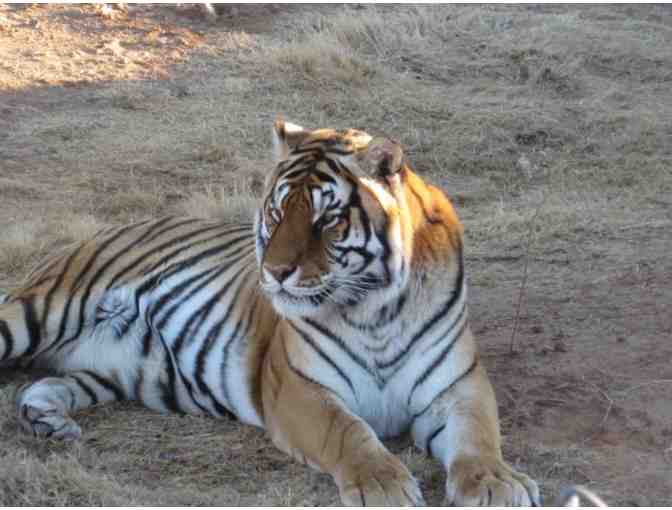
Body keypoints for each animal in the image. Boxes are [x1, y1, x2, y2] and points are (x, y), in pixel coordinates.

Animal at [0, 120, 540, 506]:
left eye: (326, 219)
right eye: (278, 212)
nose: (276, 272)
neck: (377, 311)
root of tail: (99, 232)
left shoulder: (459, 384)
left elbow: (478, 436)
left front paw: (498, 484)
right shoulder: (299, 388)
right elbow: (350, 433)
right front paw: (382, 485)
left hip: (108, 372)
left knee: (43, 384)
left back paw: (49, 422)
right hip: (35, 313)